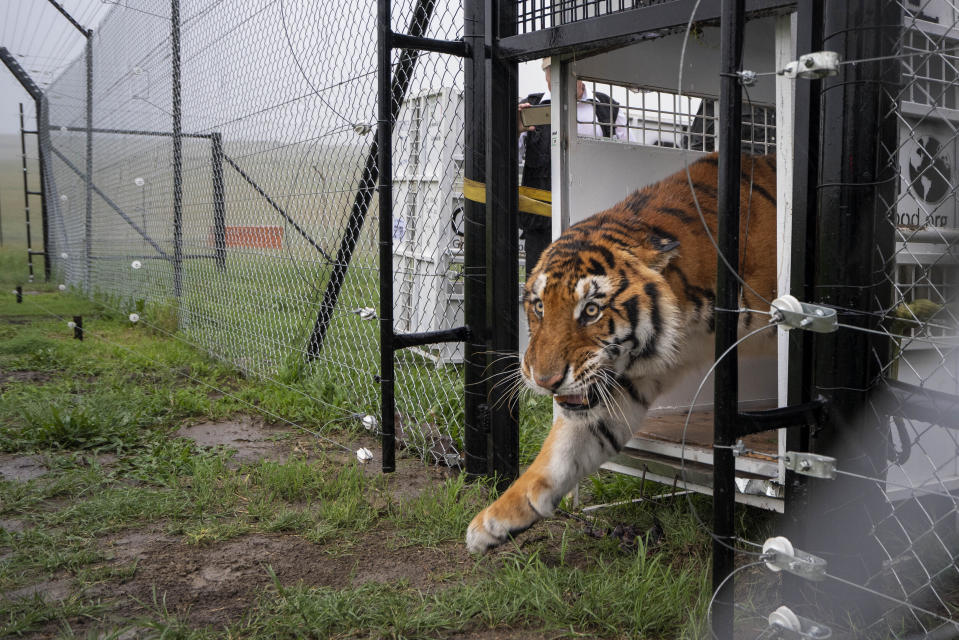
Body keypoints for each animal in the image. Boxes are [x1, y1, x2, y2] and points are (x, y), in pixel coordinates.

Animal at [466, 152, 780, 552]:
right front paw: (492, 523)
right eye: (538, 306)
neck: (693, 323)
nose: (546, 381)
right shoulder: (622, 387)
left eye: (590, 311)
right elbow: (558, 455)